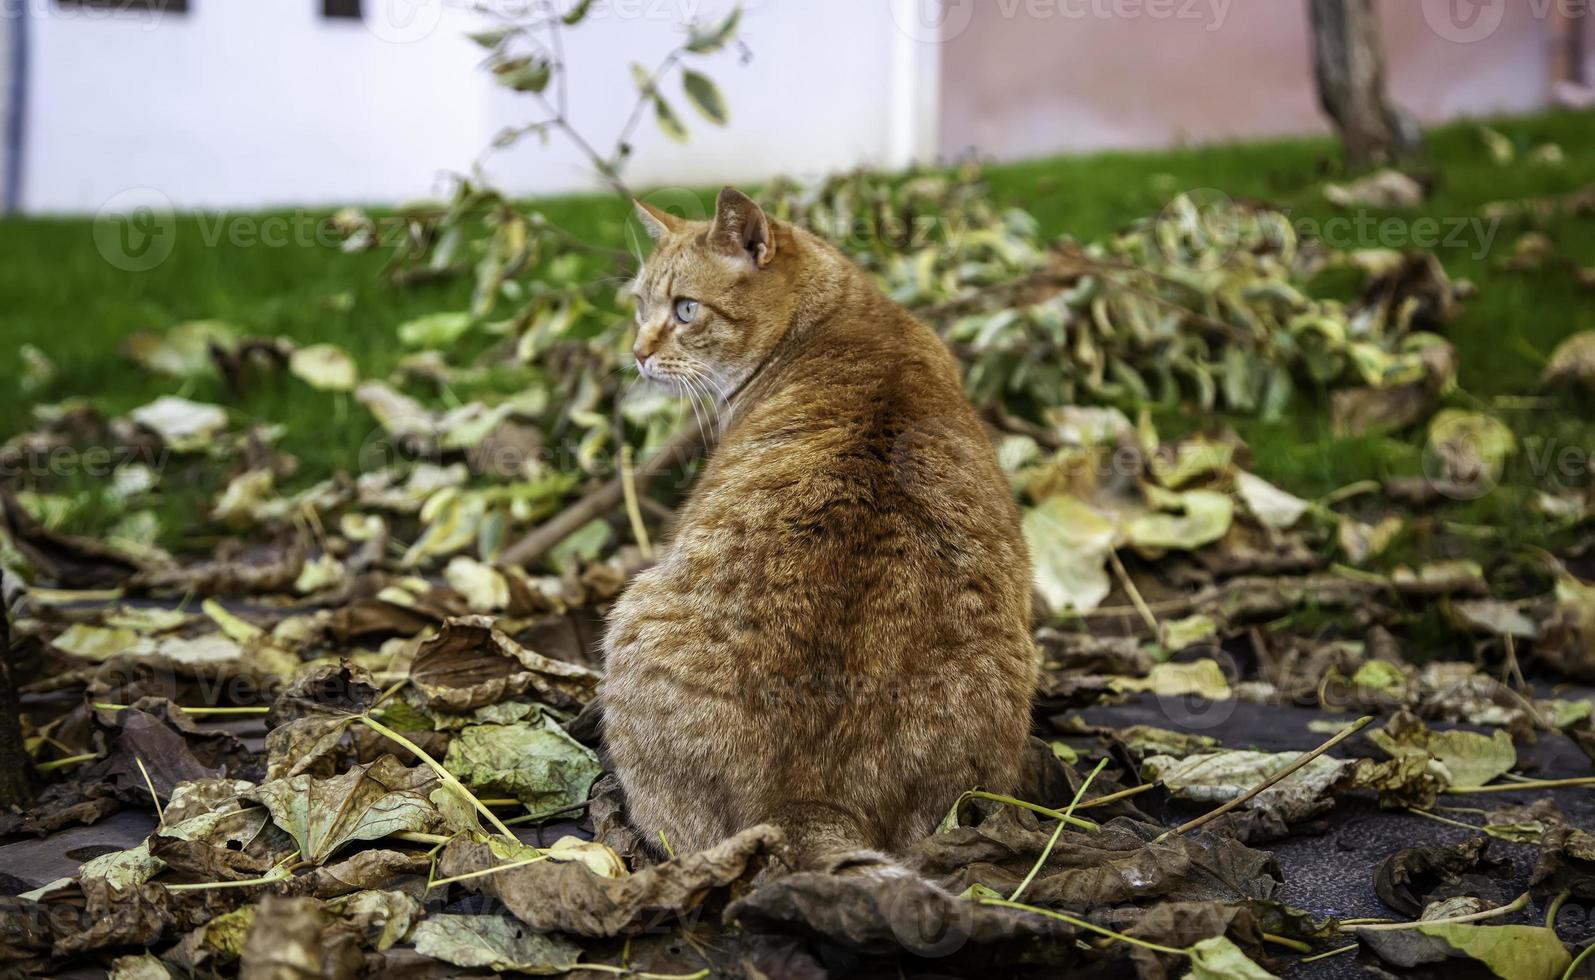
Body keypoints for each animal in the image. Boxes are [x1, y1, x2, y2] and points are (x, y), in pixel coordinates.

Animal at [599, 188, 1033, 874]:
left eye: (686, 308)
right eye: (641, 304)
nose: (638, 353)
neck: (848, 317)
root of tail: (807, 799)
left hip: (630, 613)